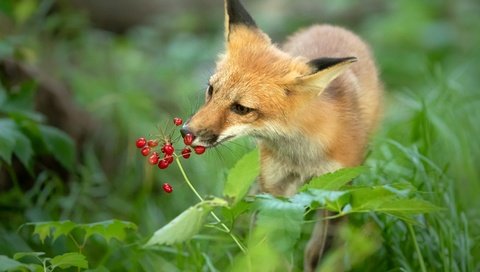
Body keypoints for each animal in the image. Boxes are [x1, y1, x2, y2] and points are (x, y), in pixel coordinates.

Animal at [180, 0, 382, 270]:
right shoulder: (275, 194)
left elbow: (319, 254)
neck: (302, 156)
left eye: (241, 108)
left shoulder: (334, 193)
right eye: (212, 90)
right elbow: (270, 252)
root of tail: (329, 26)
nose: (185, 132)